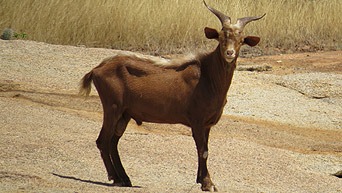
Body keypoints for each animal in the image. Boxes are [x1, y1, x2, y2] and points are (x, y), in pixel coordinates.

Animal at [79, 1, 264, 191]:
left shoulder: (207, 124)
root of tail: (97, 69)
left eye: (241, 40)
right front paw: (207, 183)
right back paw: (115, 178)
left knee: (112, 142)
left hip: (124, 113)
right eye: (220, 37)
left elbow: (205, 149)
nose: (229, 53)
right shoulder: (197, 120)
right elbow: (203, 150)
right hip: (112, 106)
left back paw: (125, 179)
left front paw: (201, 179)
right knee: (103, 141)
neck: (207, 76)